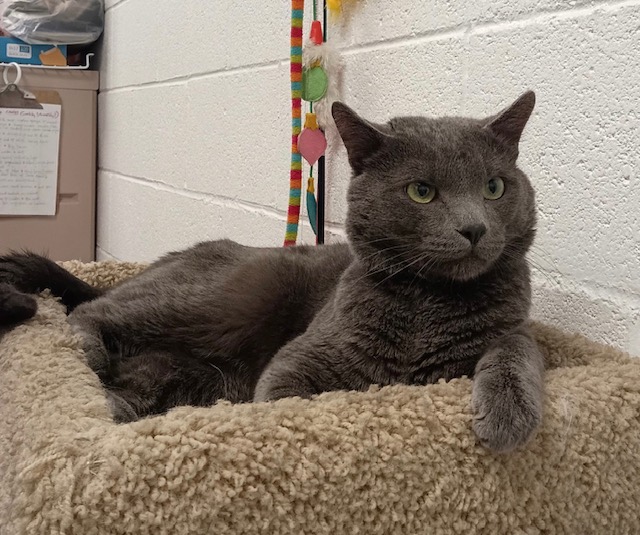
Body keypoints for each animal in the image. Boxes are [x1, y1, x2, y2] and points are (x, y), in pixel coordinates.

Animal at [0, 92, 544, 452]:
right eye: (422, 192)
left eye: (495, 187)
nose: (474, 228)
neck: (430, 301)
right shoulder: (301, 358)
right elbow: (286, 398)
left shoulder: (517, 329)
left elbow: (518, 349)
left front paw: (508, 413)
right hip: (226, 294)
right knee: (90, 308)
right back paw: (84, 347)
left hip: (184, 376)